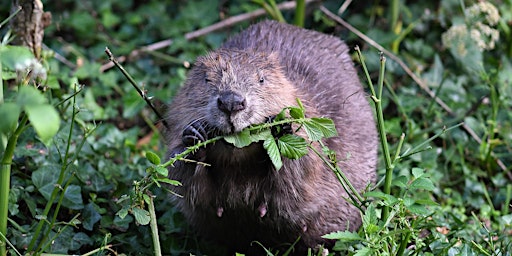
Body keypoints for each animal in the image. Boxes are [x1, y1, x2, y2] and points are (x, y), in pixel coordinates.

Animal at [166, 20, 378, 254]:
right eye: (206, 79)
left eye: (261, 79)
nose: (232, 102)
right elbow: (187, 186)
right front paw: (194, 136)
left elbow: (300, 178)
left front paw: (280, 127)